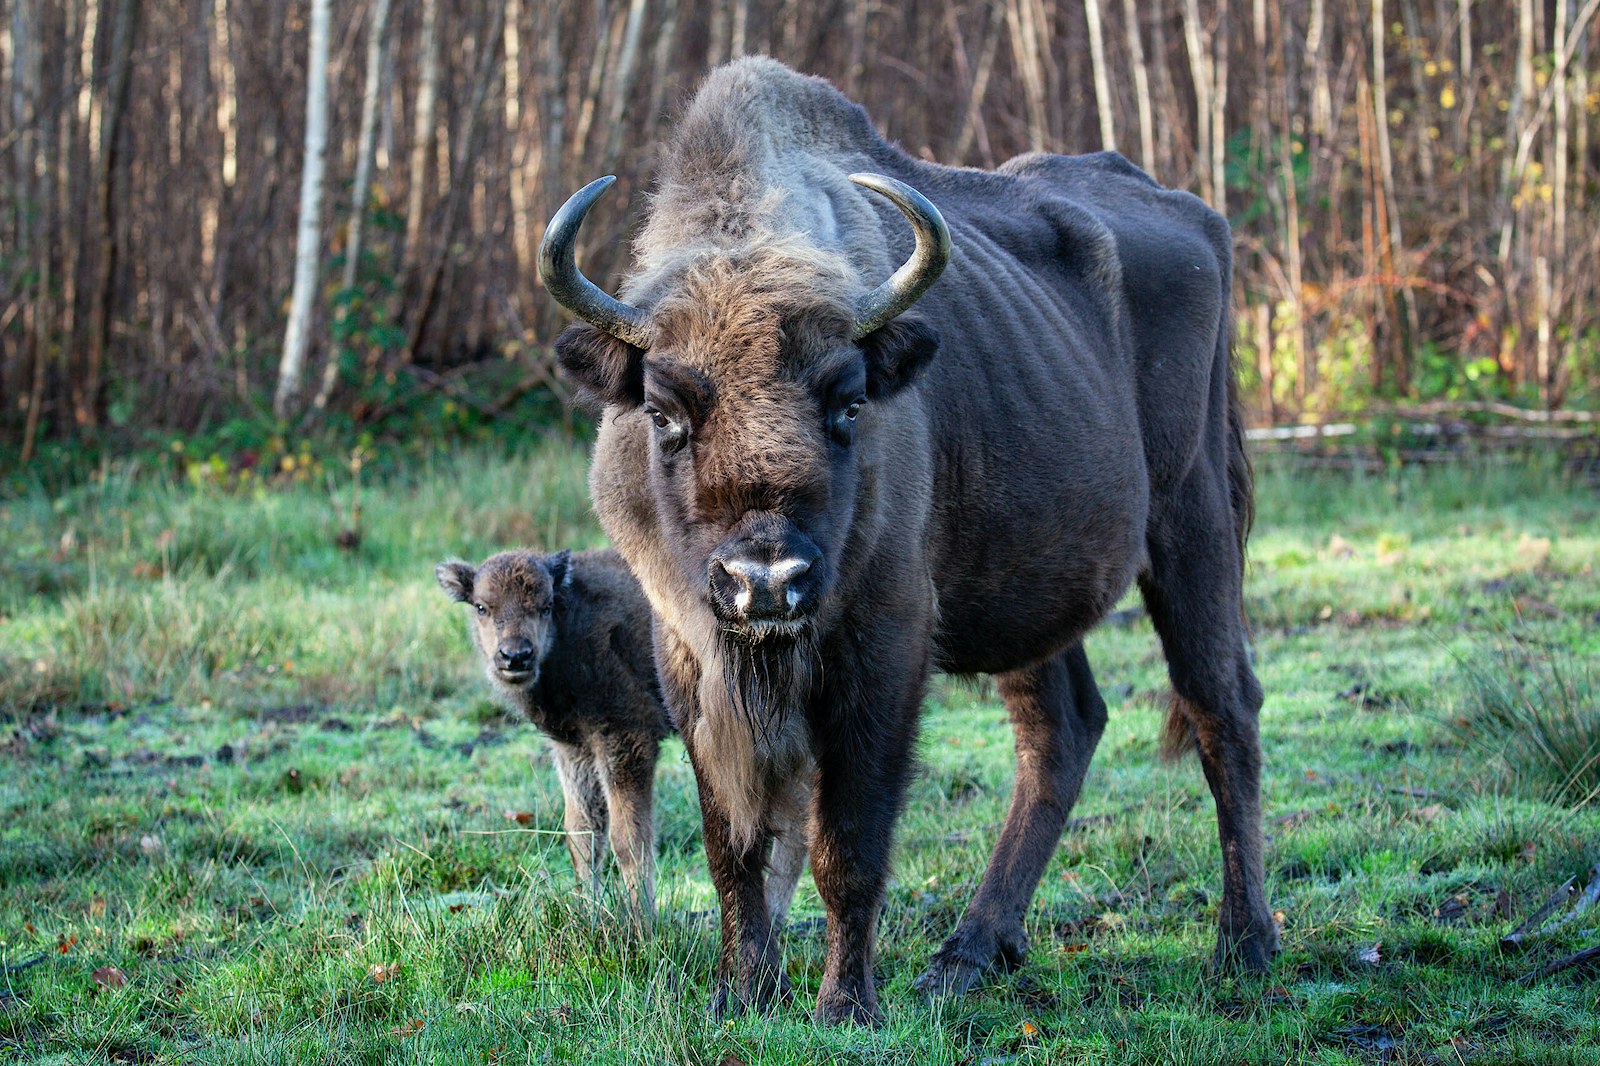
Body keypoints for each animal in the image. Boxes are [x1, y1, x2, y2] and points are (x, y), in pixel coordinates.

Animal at [438, 544, 806, 915]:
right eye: (481, 607)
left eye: (545, 606)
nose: (516, 656)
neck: (571, 621)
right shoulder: (575, 750)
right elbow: (583, 834)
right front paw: (588, 912)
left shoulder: (626, 740)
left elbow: (628, 839)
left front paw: (642, 918)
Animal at [537, 58, 1273, 1024]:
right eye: (663, 414)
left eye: (850, 401)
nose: (766, 581)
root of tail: (1196, 217)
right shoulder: (688, 653)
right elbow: (733, 841)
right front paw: (742, 993)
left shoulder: (883, 645)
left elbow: (846, 845)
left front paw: (845, 1005)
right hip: (1030, 594)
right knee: (1063, 729)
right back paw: (967, 954)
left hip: (1194, 524)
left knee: (1223, 707)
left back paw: (1244, 946)